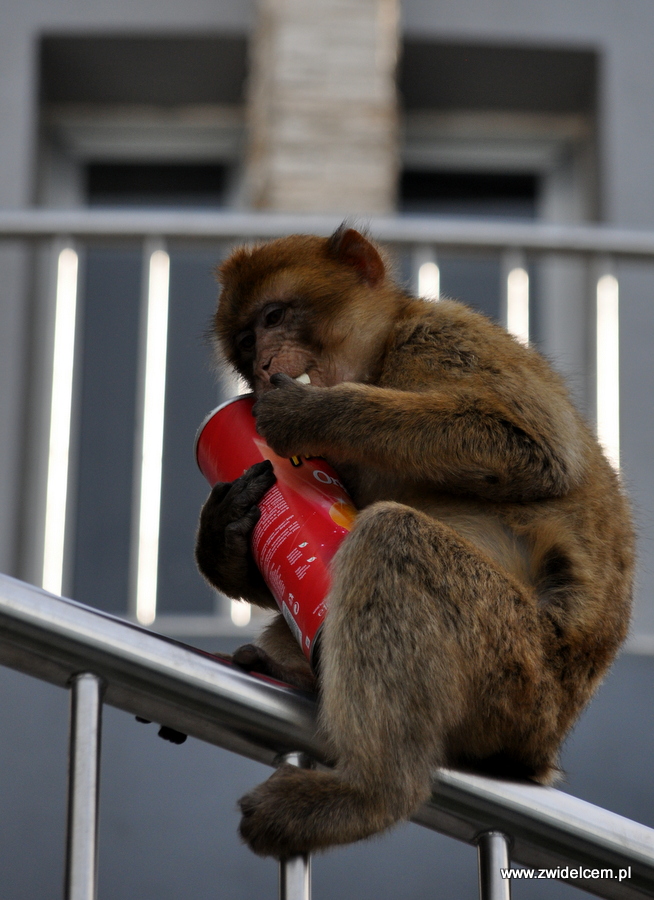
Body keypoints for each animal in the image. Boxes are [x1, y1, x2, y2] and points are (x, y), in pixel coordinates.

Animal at [195, 225, 636, 856]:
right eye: (244, 340)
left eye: (274, 317)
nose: (260, 363)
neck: (381, 360)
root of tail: (542, 748)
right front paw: (225, 530)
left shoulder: (444, 336)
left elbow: (534, 447)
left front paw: (310, 411)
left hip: (517, 668)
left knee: (391, 537)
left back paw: (371, 793)